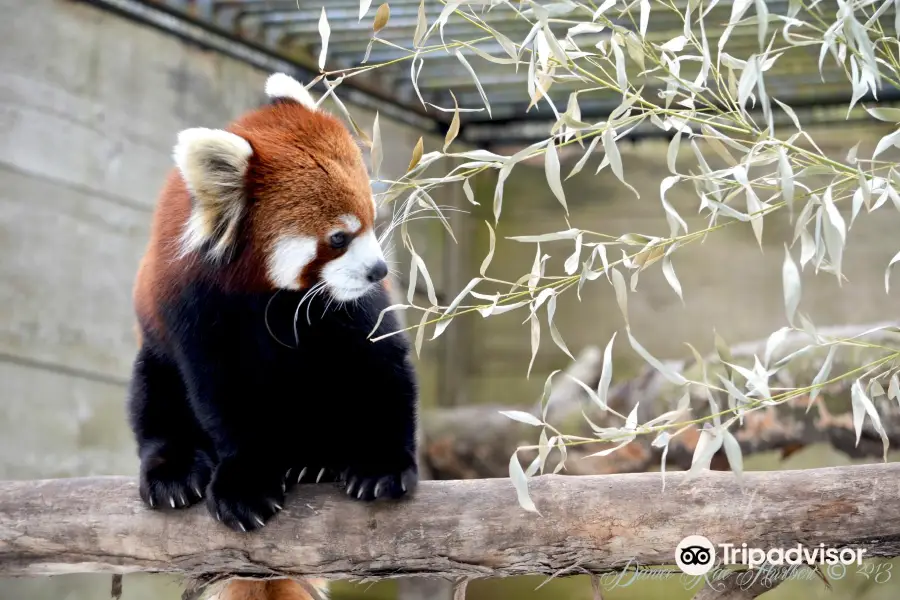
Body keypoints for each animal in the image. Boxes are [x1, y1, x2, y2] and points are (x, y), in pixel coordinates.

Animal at [126, 71, 418, 540]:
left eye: (372, 222)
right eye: (338, 237)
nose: (378, 270)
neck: (270, 297)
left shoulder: (347, 306)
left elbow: (377, 363)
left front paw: (381, 464)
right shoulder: (197, 305)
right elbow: (225, 393)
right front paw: (245, 483)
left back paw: (315, 461)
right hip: (154, 353)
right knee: (154, 395)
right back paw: (173, 471)